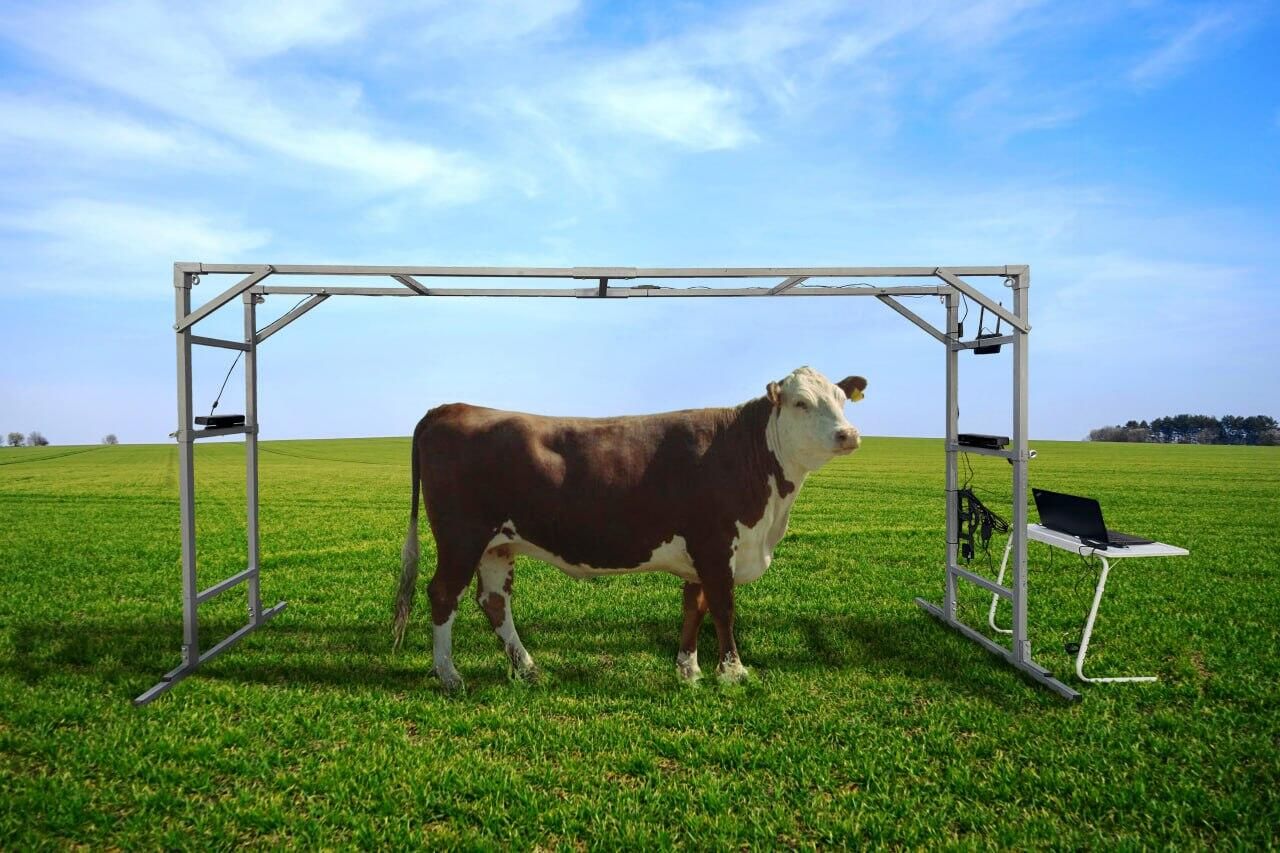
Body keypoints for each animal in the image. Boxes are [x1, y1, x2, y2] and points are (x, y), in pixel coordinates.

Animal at [392, 366, 867, 691]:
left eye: (842, 399)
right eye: (801, 403)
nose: (849, 434)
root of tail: (451, 408)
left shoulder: (698, 554)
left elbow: (693, 608)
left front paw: (688, 670)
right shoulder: (716, 546)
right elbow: (723, 608)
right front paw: (733, 672)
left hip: (497, 545)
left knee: (493, 601)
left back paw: (527, 668)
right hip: (461, 536)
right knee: (443, 594)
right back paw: (449, 674)